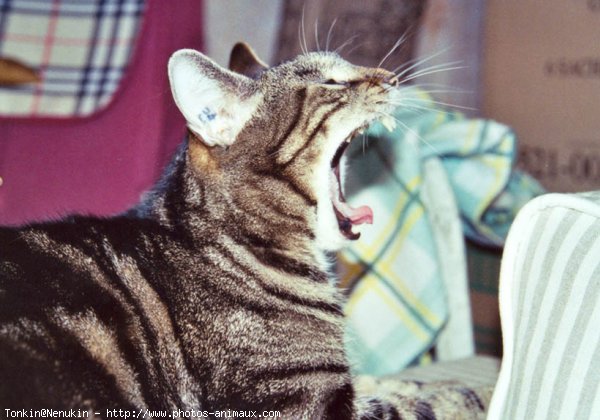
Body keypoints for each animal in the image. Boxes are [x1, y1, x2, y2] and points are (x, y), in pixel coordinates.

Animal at [0, 43, 490, 420]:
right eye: (330, 84)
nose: (392, 77)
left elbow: (385, 383)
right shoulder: (303, 403)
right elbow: (418, 404)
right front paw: (475, 391)